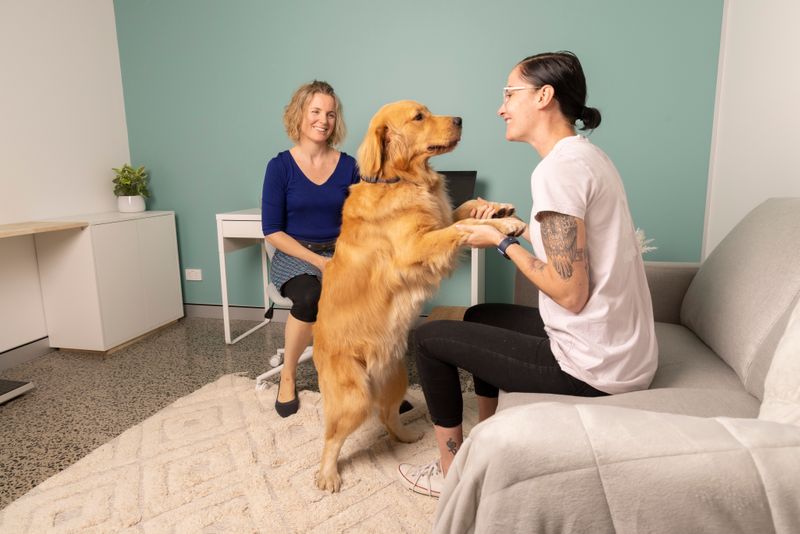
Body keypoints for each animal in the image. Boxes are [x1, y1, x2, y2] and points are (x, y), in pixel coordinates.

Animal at [312, 100, 524, 494]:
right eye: (418, 117)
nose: (459, 119)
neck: (404, 179)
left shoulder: (439, 219)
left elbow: (465, 207)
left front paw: (500, 209)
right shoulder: (416, 247)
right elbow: (465, 225)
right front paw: (501, 224)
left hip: (394, 379)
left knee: (387, 415)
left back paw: (407, 438)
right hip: (353, 397)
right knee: (332, 438)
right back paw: (328, 475)